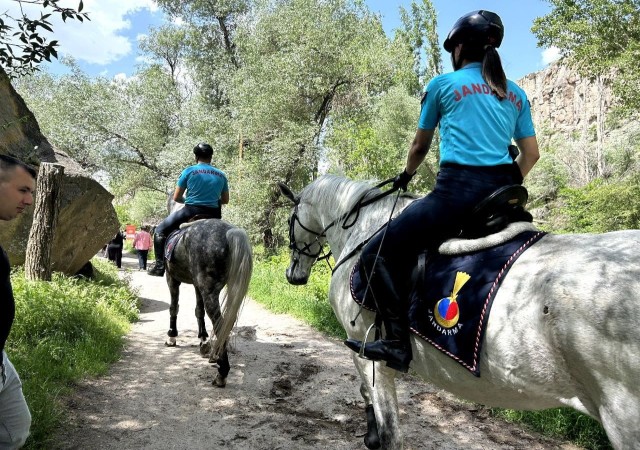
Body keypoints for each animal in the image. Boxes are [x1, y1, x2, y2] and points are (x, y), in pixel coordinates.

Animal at [278, 175, 640, 450]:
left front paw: (373, 436)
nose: (293, 275)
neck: (363, 228)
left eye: (289, 221)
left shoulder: (363, 349)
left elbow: (383, 417)